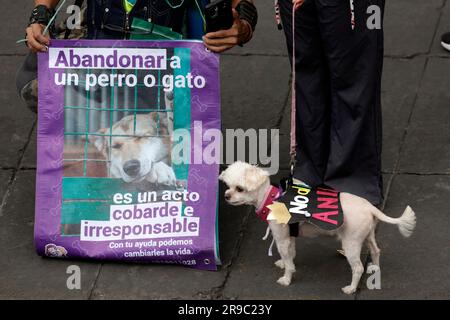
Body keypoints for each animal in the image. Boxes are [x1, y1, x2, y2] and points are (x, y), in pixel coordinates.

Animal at [220, 162, 416, 296]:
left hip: (351, 243)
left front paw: (286, 278)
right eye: (228, 186)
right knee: (376, 251)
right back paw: (374, 269)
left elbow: (287, 260)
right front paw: (285, 263)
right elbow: (290, 255)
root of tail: (370, 207)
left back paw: (351, 288)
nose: (226, 196)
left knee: (358, 268)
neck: (272, 198)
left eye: (240, 189)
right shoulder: (290, 237)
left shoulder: (281, 238)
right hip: (368, 236)